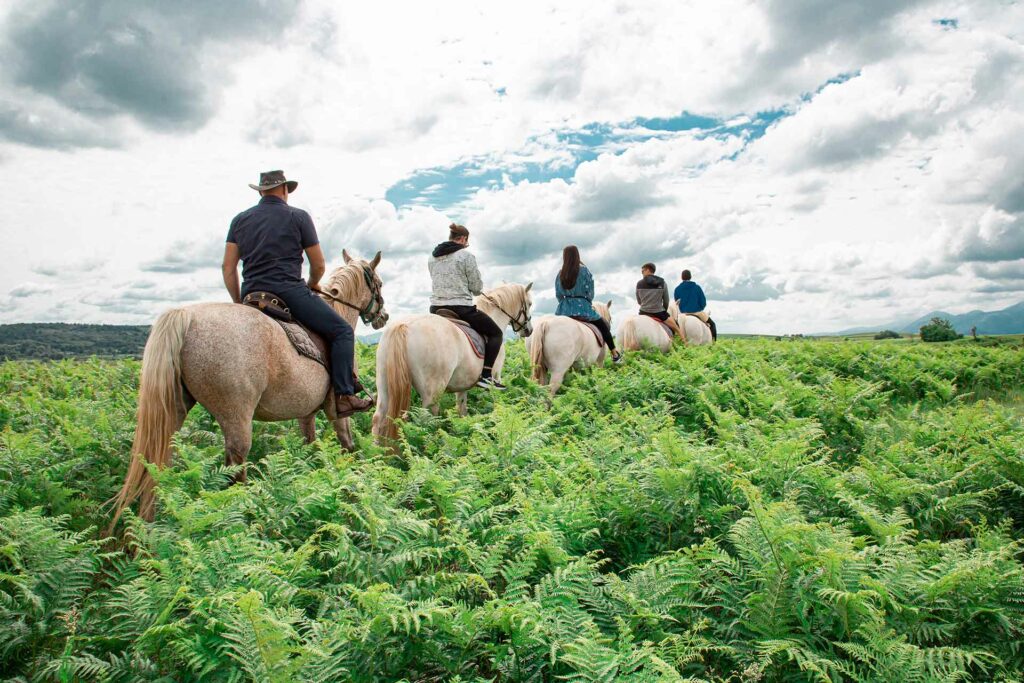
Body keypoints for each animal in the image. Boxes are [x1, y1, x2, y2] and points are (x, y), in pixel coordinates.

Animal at [370, 282, 532, 444]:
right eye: (529, 303)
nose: (529, 331)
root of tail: (403, 326)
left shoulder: (463, 385)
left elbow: (462, 410)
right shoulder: (496, 376)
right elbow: (496, 402)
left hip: (384, 387)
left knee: (378, 419)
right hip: (432, 394)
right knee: (425, 422)